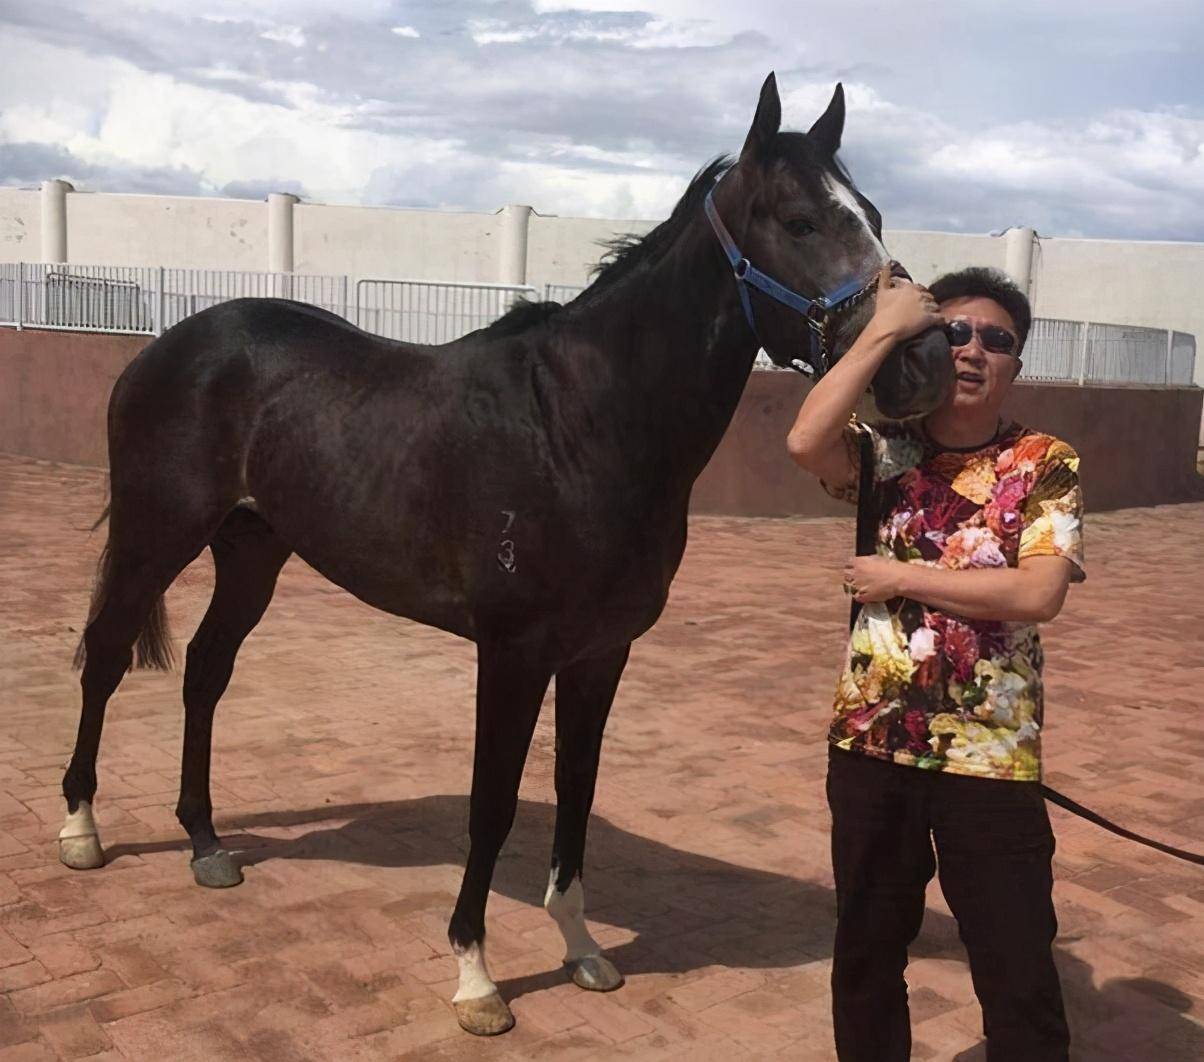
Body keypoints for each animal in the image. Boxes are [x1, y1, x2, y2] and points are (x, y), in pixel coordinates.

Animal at [59, 73, 952, 1036]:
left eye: (870, 213)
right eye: (800, 222)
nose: (927, 360)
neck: (581, 426)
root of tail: (172, 346)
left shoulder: (600, 654)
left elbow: (576, 791)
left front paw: (583, 948)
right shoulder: (514, 652)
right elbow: (492, 806)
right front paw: (476, 976)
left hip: (253, 549)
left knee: (205, 671)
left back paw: (206, 841)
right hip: (157, 534)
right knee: (105, 656)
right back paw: (82, 830)